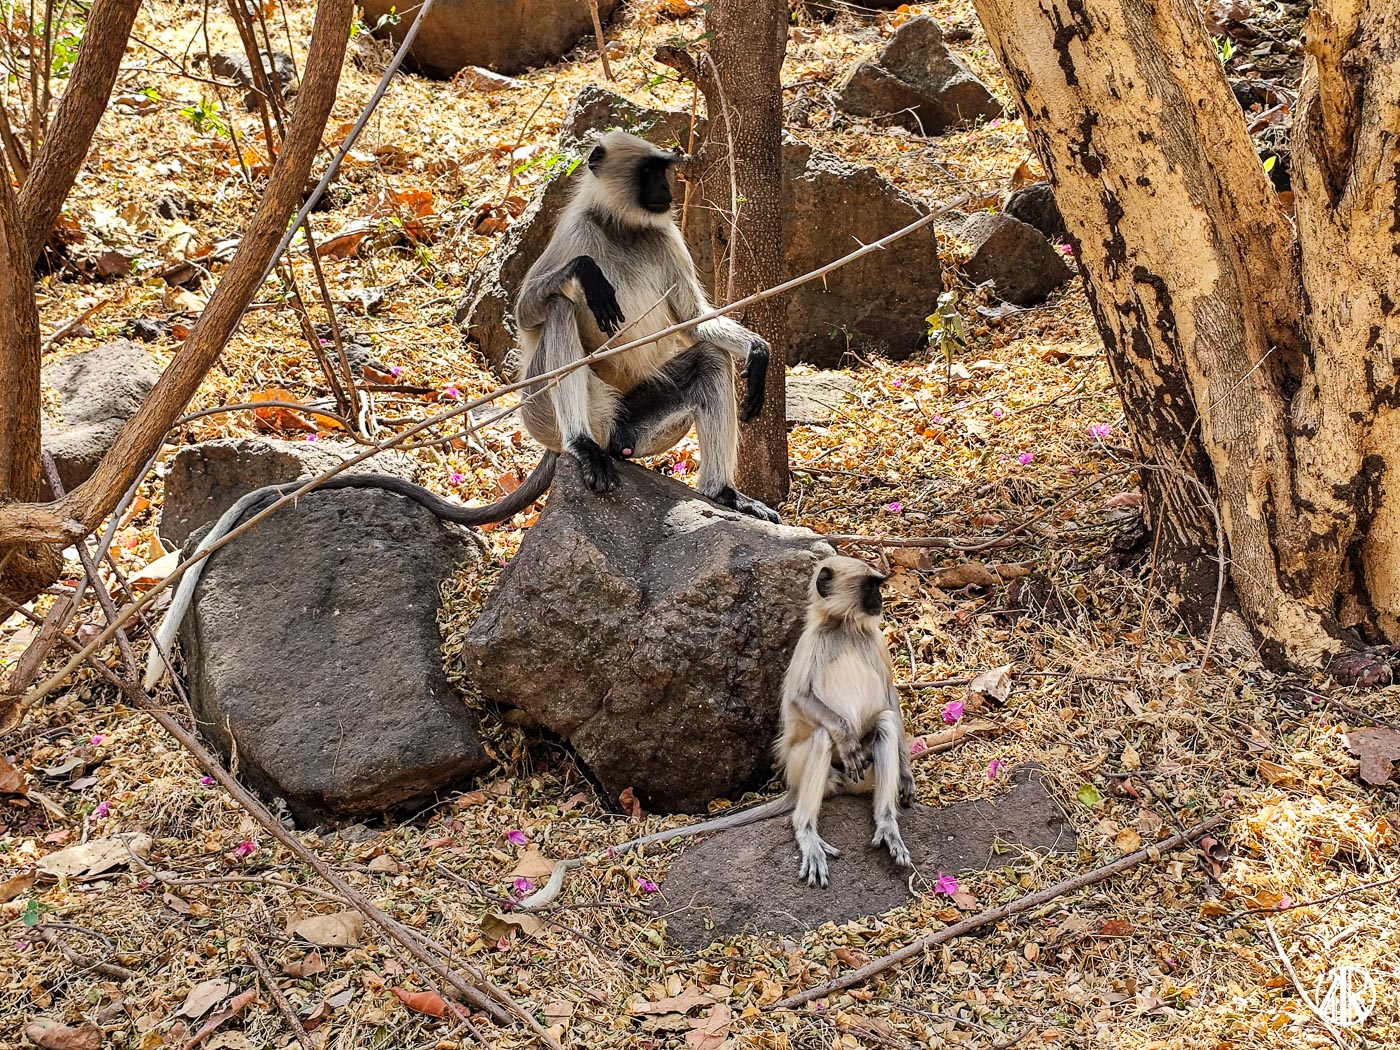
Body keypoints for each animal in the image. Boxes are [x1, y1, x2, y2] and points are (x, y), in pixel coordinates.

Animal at [513, 129, 779, 524]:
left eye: (664, 169)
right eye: (650, 171)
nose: (667, 188)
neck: (622, 227)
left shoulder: (667, 237)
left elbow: (693, 320)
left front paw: (757, 351)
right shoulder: (575, 232)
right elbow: (524, 315)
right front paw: (586, 271)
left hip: (632, 426)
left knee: (711, 358)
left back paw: (723, 493)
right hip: (547, 412)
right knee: (559, 307)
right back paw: (581, 445)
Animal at [779, 554, 914, 887]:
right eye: (870, 586)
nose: (881, 600)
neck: (844, 626)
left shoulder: (876, 640)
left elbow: (890, 700)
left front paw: (906, 775)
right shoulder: (811, 640)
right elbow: (799, 698)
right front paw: (847, 740)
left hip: (867, 776)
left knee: (886, 723)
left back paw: (887, 824)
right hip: (800, 767)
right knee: (823, 735)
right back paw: (806, 832)